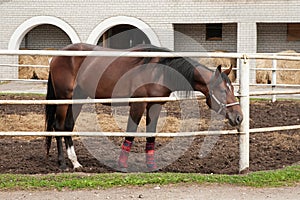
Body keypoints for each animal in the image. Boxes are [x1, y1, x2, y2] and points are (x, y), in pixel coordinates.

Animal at [44, 43, 243, 171]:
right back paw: (63, 164)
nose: (239, 117)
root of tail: (57, 56)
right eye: (222, 90)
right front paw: (122, 165)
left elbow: (151, 136)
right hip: (63, 98)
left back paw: (75, 163)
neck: (159, 70)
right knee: (58, 126)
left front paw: (151, 165)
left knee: (68, 127)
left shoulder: (155, 106)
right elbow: (130, 134)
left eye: (233, 89)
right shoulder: (138, 105)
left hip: (77, 98)